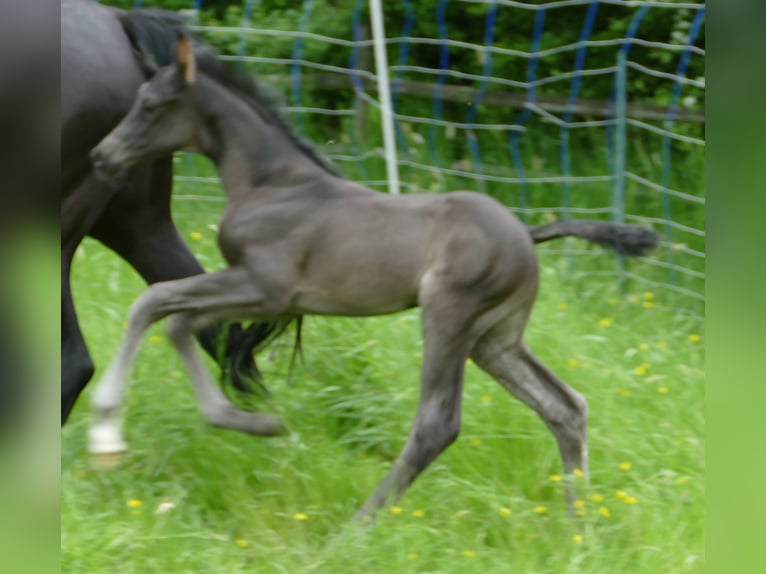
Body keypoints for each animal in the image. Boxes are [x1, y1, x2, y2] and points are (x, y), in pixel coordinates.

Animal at [87, 38, 656, 520]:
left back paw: (358, 526)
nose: (101, 156)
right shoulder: (261, 295)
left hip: (449, 317)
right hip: (495, 339)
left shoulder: (265, 289)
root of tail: (526, 233)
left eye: (151, 104)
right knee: (565, 407)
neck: (271, 183)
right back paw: (578, 523)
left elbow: (153, 302)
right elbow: (177, 322)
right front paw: (257, 422)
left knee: (437, 424)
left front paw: (107, 429)